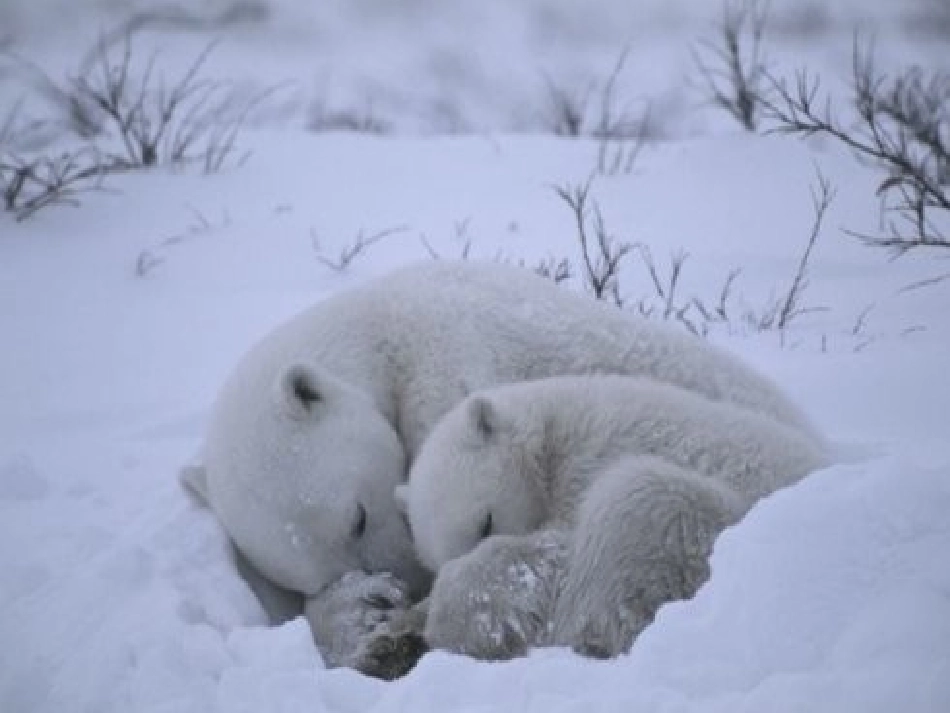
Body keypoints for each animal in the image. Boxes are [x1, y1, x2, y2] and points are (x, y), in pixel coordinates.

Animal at [392, 372, 824, 660]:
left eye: (486, 522)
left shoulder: (587, 463)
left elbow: (552, 554)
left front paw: (446, 615)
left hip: (709, 529)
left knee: (635, 509)